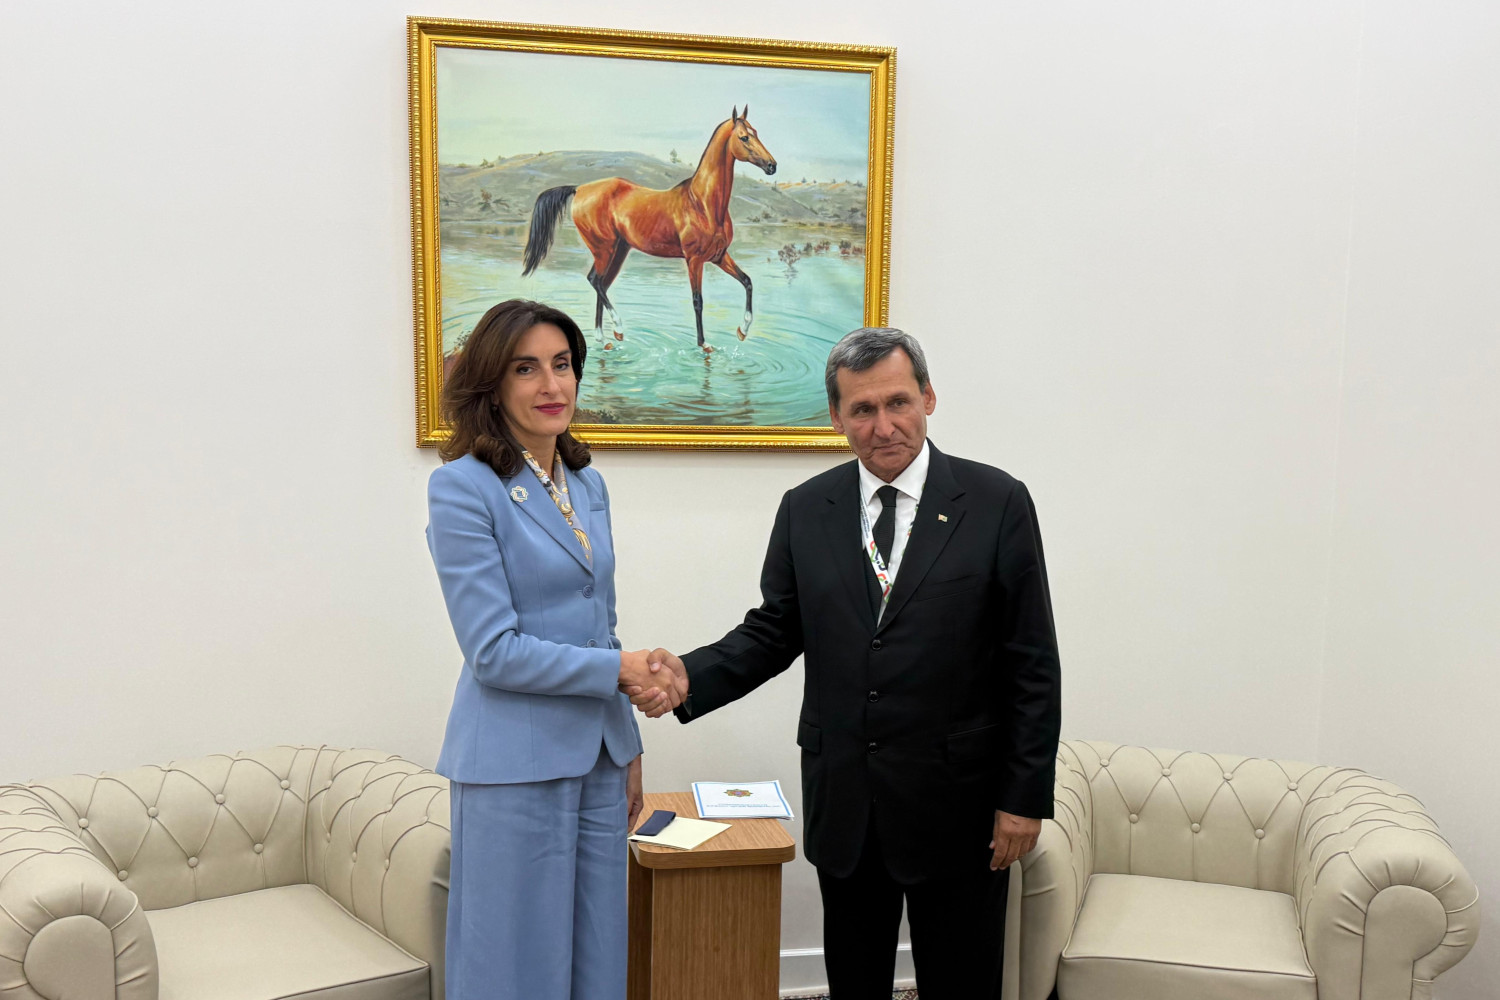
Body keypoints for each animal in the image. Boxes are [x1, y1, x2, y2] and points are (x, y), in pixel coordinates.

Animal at [521, 106, 777, 353]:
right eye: (744, 137)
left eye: (756, 132)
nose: (772, 165)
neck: (702, 204)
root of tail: (580, 188)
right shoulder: (694, 260)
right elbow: (698, 301)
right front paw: (704, 344)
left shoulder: (718, 256)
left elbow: (747, 281)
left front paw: (742, 331)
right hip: (604, 249)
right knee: (595, 280)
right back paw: (618, 329)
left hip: (618, 251)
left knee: (601, 283)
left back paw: (604, 339)